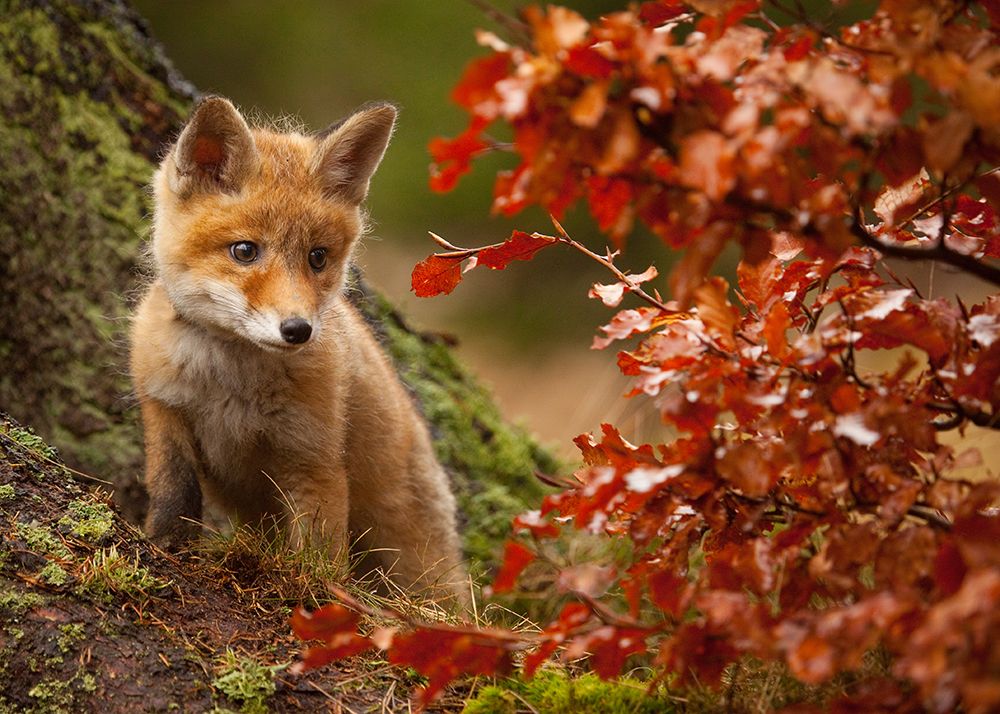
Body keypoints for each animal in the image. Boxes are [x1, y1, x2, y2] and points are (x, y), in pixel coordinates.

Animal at [130, 96, 468, 600]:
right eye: (244, 251)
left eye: (318, 257)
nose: (298, 330)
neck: (228, 384)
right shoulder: (165, 413)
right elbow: (173, 495)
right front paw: (165, 546)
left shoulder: (312, 455)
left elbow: (318, 550)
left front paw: (319, 598)